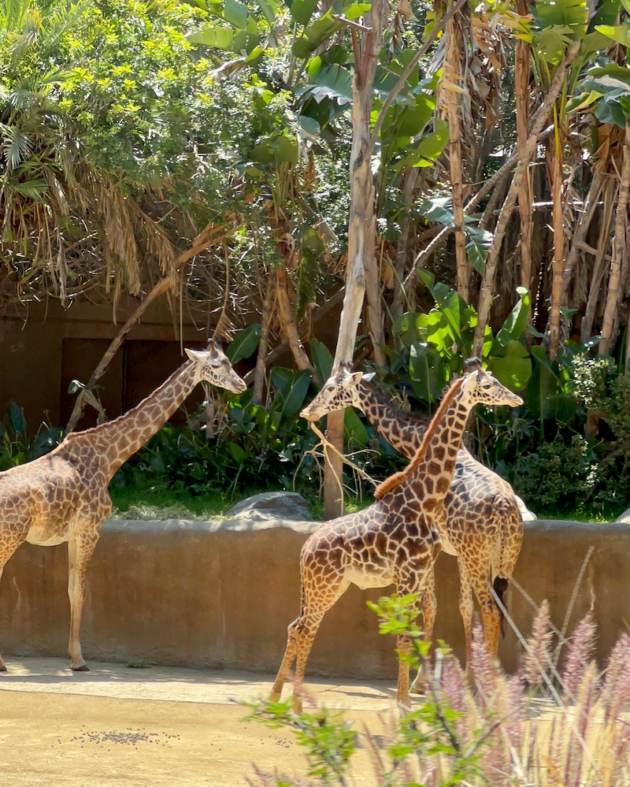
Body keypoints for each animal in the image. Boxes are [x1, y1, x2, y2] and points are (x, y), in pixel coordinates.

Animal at [0, 342, 247, 676]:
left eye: (229, 361)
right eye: (217, 366)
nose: (242, 385)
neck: (109, 458)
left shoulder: (74, 535)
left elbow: (71, 590)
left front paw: (74, 657)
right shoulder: (91, 529)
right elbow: (81, 592)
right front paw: (79, 660)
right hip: (10, 537)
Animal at [272, 364, 524, 716]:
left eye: (331, 387)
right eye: (489, 385)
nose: (307, 411)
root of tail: (305, 549)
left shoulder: (423, 567)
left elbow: (423, 621)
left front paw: (415, 692)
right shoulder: (419, 568)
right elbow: (425, 619)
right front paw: (413, 693)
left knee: (298, 627)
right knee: (303, 628)